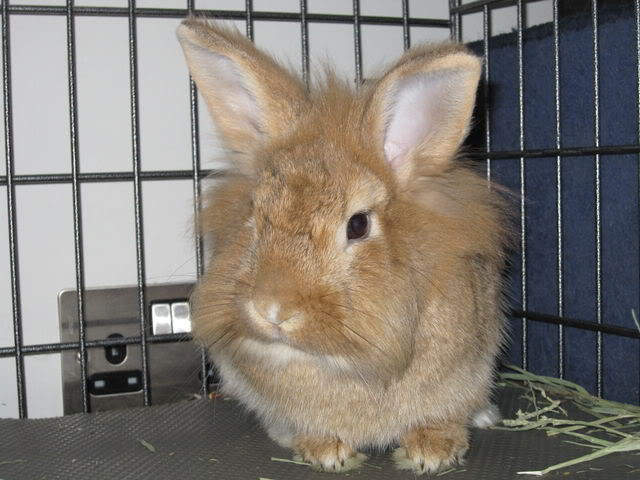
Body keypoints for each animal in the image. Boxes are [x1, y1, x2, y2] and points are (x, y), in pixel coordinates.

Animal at [178, 17, 512, 476]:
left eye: (357, 225)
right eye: (253, 211)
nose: (273, 308)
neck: (334, 361)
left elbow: (440, 416)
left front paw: (432, 452)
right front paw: (326, 452)